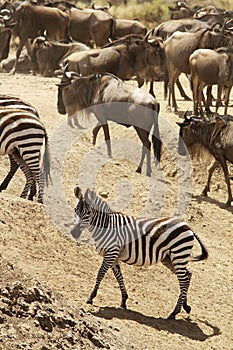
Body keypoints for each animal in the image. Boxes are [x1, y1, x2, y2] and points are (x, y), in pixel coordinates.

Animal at [72, 186, 208, 320]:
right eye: (75, 210)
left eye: (88, 213)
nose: (74, 233)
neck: (106, 226)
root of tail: (187, 226)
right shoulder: (114, 256)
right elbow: (119, 276)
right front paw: (124, 300)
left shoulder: (111, 252)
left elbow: (100, 273)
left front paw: (91, 297)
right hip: (170, 258)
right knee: (187, 275)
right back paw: (185, 306)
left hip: (178, 254)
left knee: (184, 279)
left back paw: (174, 313)